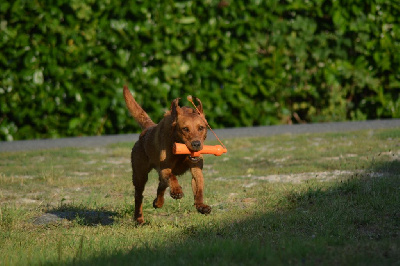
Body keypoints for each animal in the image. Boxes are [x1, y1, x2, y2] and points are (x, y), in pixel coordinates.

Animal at [122, 86, 211, 223]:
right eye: (185, 129)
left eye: (201, 128)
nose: (196, 144)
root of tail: (146, 130)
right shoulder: (165, 168)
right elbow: (171, 177)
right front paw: (177, 191)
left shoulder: (196, 169)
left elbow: (199, 188)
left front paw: (201, 206)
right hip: (140, 175)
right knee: (139, 196)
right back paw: (139, 218)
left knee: (161, 185)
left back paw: (158, 202)